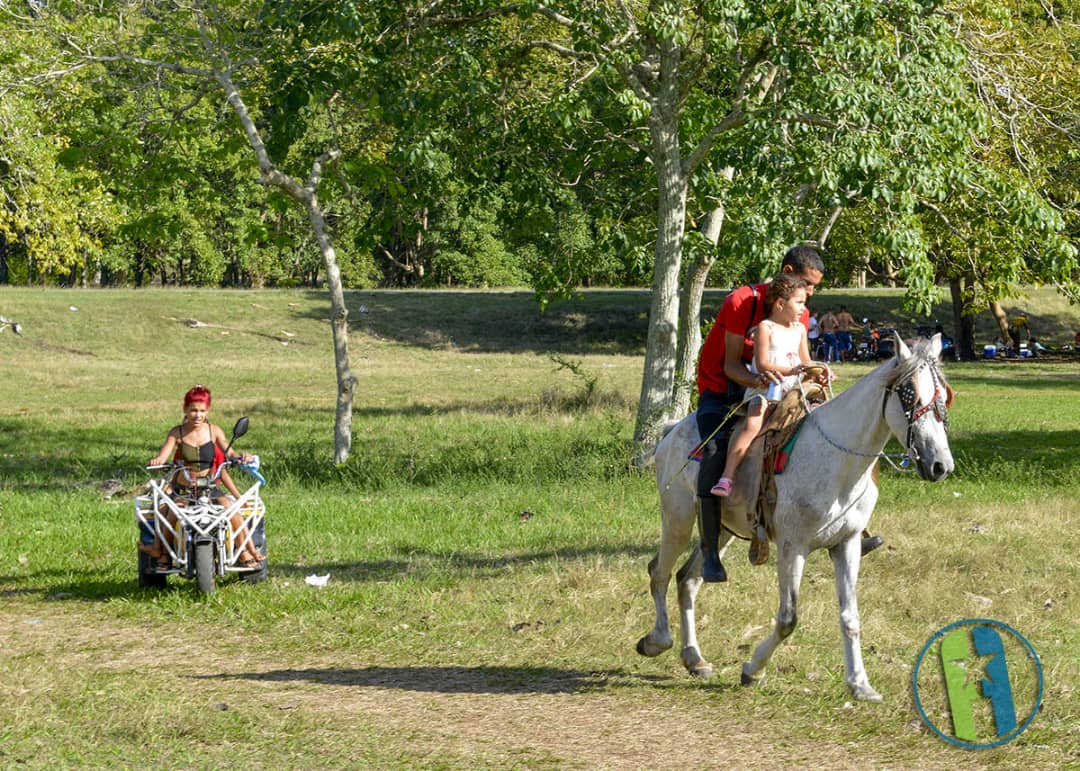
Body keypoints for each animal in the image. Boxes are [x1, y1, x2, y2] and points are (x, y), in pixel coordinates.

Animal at [635, 332, 959, 699]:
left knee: (688, 579)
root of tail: (672, 430)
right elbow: (788, 618)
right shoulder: (793, 548)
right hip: (677, 517)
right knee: (659, 572)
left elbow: (850, 616)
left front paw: (860, 683)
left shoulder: (846, 545)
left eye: (943, 399)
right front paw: (753, 669)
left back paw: (694, 658)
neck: (834, 460)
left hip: (721, 530)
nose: (941, 465)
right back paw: (656, 641)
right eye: (910, 396)